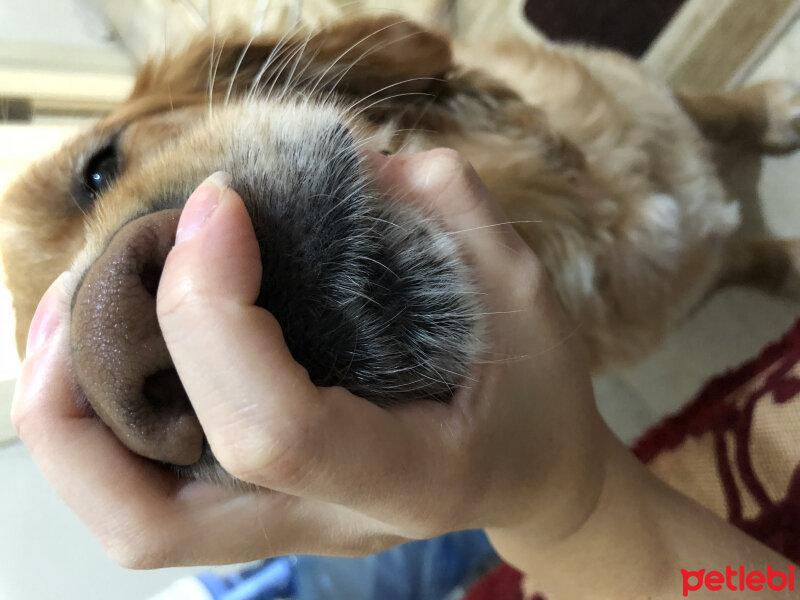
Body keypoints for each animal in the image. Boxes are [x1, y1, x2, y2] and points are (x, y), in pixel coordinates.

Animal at [1, 14, 800, 480]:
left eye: (97, 168)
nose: (121, 334)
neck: (571, 211)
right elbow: (747, 255)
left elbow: (702, 105)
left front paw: (771, 110)